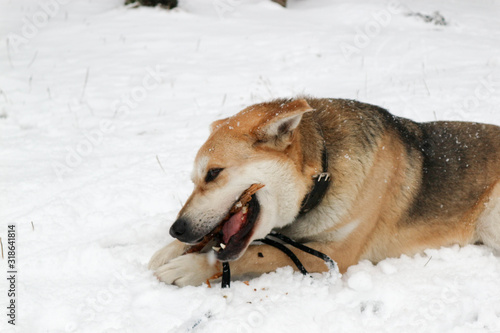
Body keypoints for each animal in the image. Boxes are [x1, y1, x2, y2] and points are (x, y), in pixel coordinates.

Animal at [148, 96, 500, 286]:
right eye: (195, 179)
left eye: (213, 173)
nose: (177, 229)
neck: (323, 175)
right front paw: (169, 250)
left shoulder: (337, 254)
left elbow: (262, 252)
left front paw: (192, 267)